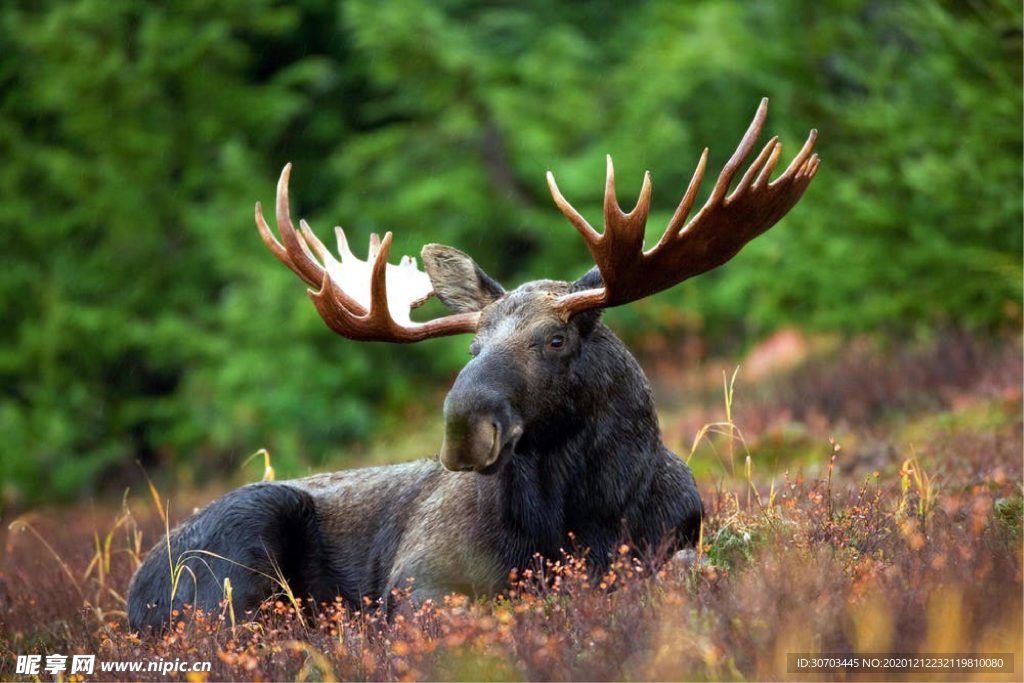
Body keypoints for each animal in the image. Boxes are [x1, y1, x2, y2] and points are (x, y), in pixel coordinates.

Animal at [127, 99, 818, 631]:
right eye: (472, 348)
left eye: (555, 339)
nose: (464, 428)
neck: (584, 515)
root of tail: (133, 595)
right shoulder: (418, 578)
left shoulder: (676, 540)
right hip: (239, 546)